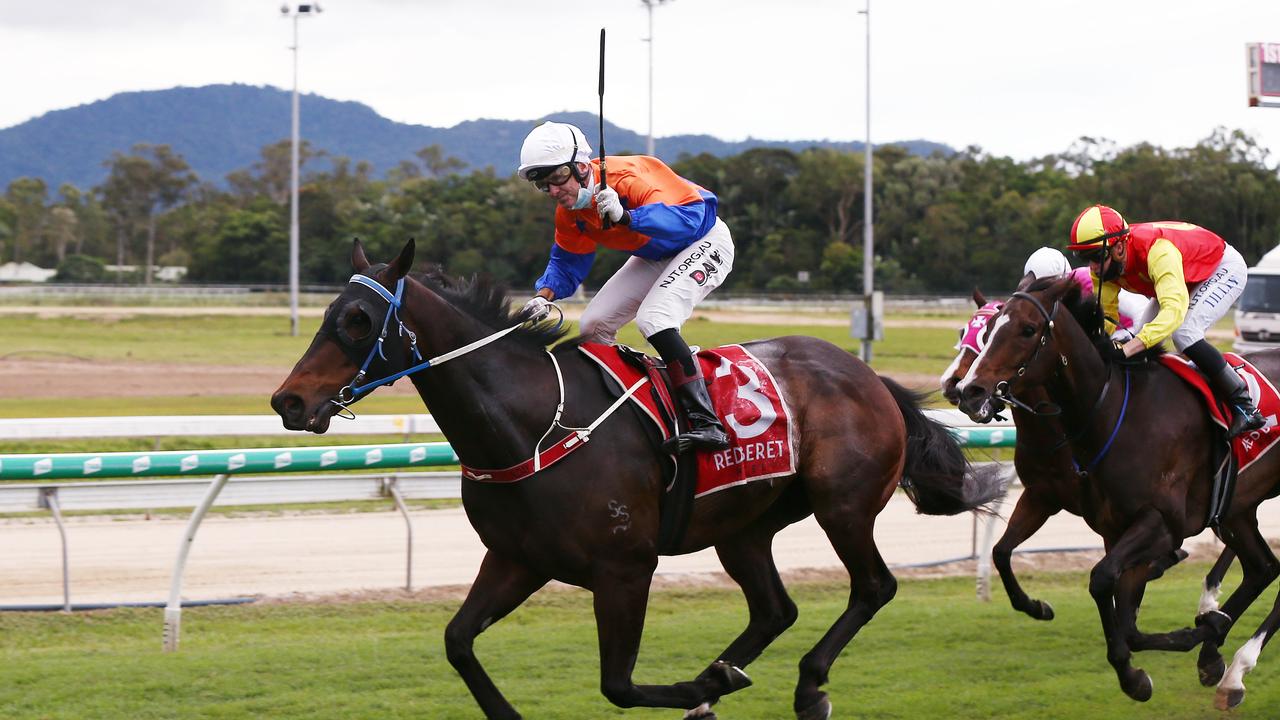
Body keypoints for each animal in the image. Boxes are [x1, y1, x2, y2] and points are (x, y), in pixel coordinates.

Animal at [272, 238, 1008, 712]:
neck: (533, 424)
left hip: (843, 506)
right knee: (776, 608)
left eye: (359, 320)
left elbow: (618, 685)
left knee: (874, 586)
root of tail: (869, 376)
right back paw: (727, 671)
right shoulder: (517, 558)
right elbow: (457, 643)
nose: (289, 401)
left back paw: (799, 684)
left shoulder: (625, 567)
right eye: (328, 315)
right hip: (744, 527)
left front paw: (699, 690)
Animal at [957, 274, 1280, 707]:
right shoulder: (1093, 517)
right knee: (1263, 568)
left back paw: (1236, 667)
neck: (1113, 413)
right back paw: (1220, 661)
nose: (968, 390)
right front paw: (1150, 665)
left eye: (1027, 329)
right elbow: (1121, 615)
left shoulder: (1160, 524)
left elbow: (1101, 579)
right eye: (987, 328)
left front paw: (1172, 648)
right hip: (1236, 508)